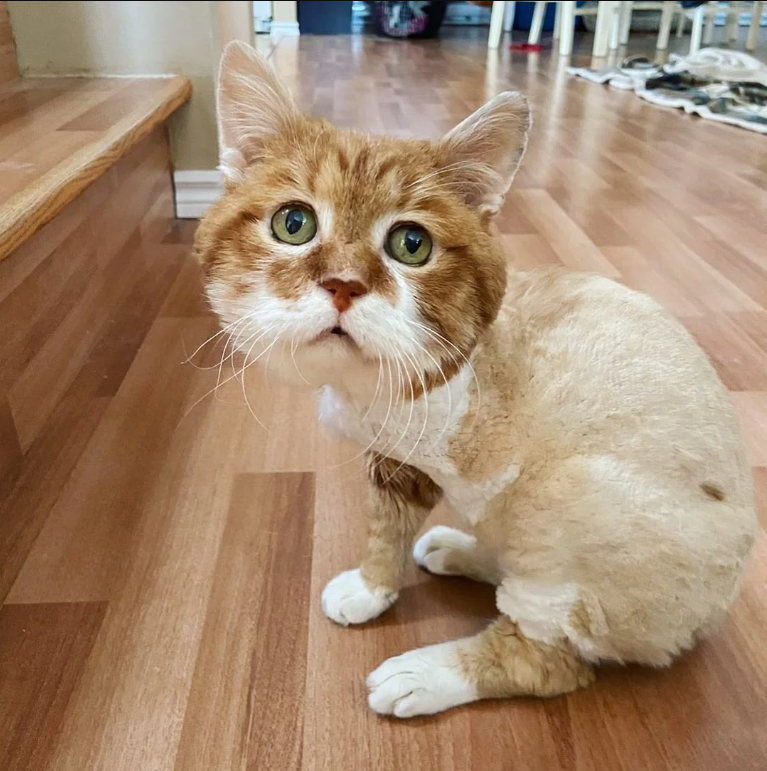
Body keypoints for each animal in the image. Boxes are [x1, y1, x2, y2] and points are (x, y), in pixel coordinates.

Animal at [195, 40, 760, 716]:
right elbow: (385, 531)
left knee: (548, 657)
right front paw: (371, 588)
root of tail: (712, 614)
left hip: (567, 501)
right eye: (294, 223)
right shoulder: (395, 461)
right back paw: (459, 550)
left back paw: (426, 672)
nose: (343, 284)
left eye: (411, 244)